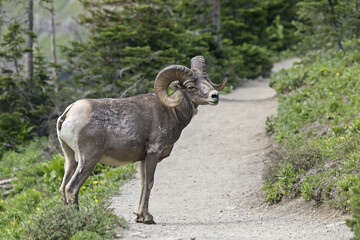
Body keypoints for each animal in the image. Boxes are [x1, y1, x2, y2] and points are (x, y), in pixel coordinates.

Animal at [56, 55, 225, 224]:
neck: (172, 113)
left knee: (63, 187)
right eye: (191, 87)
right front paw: (147, 218)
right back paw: (78, 220)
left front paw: (139, 215)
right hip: (88, 160)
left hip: (70, 158)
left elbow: (143, 183)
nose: (214, 96)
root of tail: (67, 114)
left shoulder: (143, 158)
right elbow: (150, 183)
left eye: (206, 80)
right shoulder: (153, 152)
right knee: (71, 188)